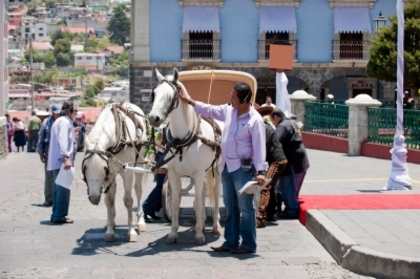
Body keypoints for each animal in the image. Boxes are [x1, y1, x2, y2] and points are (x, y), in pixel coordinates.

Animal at [81, 102, 149, 243]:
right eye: (85, 167)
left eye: (103, 168)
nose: (94, 198)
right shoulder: (111, 173)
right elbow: (109, 200)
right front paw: (110, 231)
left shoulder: (127, 172)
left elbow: (128, 200)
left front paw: (131, 231)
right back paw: (112, 222)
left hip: (139, 162)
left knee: (138, 190)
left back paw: (140, 222)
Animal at [148, 68, 223, 245]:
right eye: (154, 94)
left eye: (171, 96)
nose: (153, 118)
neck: (181, 139)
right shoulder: (174, 174)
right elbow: (176, 203)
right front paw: (173, 233)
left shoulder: (199, 172)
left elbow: (198, 203)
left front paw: (199, 235)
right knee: (203, 193)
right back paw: (201, 222)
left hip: (217, 169)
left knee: (215, 193)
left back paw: (215, 225)